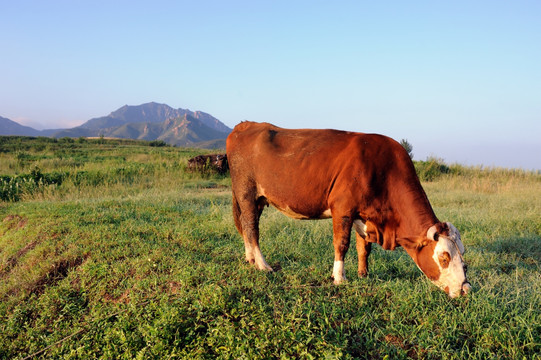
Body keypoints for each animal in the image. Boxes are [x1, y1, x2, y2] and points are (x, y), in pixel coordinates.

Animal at [226, 121, 470, 298]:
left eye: (463, 256)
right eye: (444, 257)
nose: (465, 288)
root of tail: (246, 125)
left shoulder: (364, 215)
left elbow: (364, 248)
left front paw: (363, 274)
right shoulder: (342, 208)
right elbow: (342, 244)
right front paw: (339, 277)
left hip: (257, 199)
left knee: (247, 226)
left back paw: (250, 259)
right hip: (246, 193)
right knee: (251, 227)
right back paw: (262, 265)